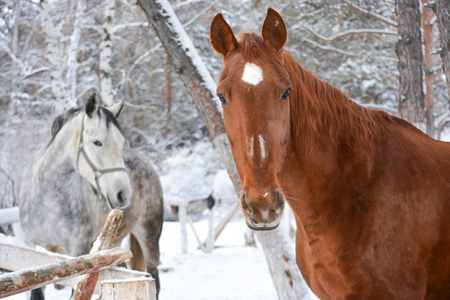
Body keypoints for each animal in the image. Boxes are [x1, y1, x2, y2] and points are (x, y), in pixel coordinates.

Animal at [19, 94, 164, 298]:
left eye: (121, 142)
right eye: (97, 142)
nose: (124, 194)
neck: (48, 203)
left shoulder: (78, 254)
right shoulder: (32, 250)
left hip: (150, 235)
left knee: (154, 276)